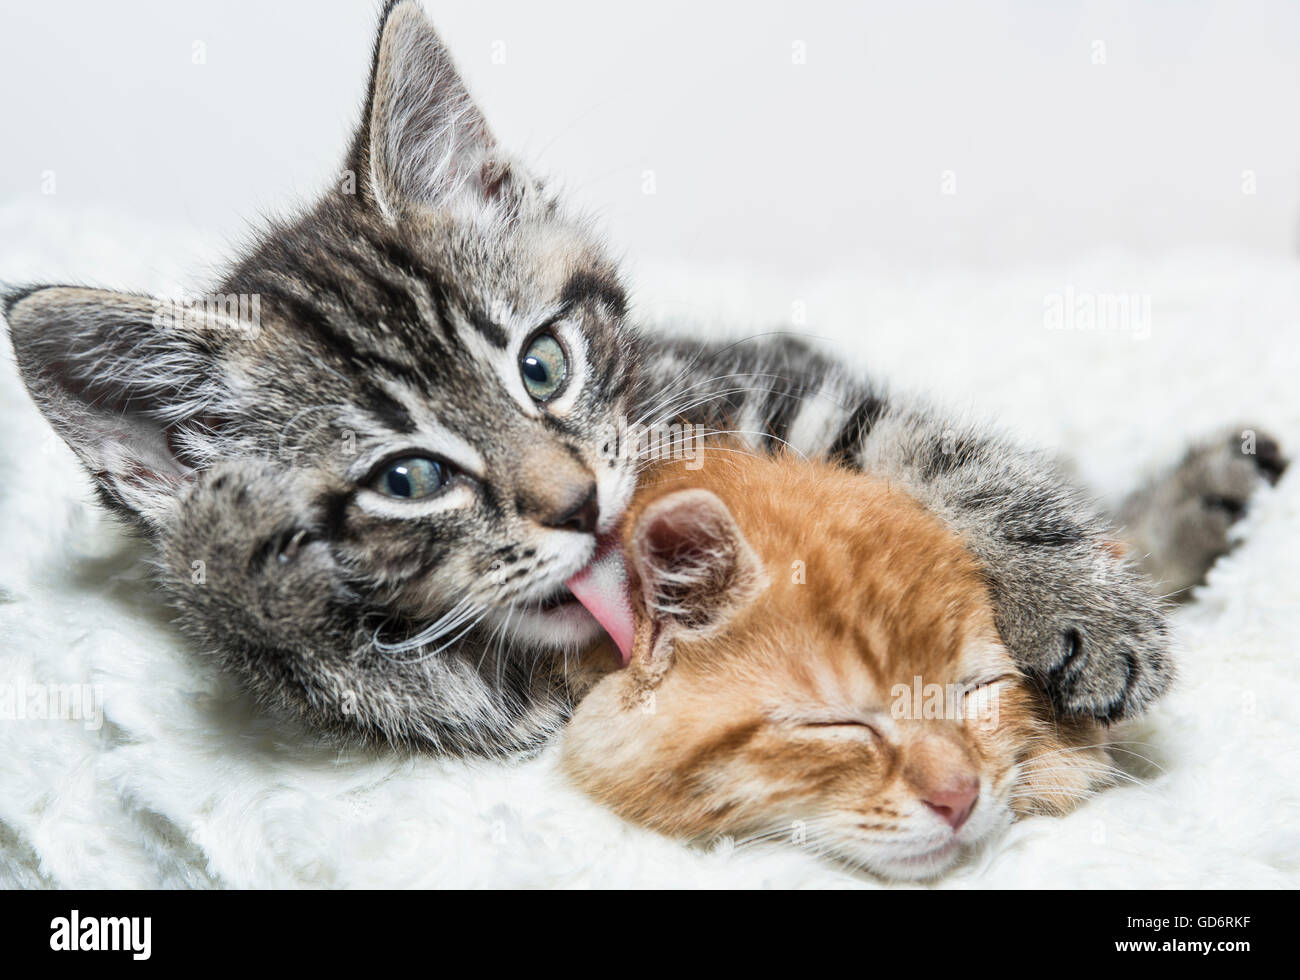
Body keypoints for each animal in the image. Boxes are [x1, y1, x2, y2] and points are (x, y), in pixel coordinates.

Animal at [2, 0, 1279, 753]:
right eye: (408, 478)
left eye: (543, 362)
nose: (577, 502)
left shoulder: (760, 386)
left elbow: (944, 460)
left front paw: (1080, 606)